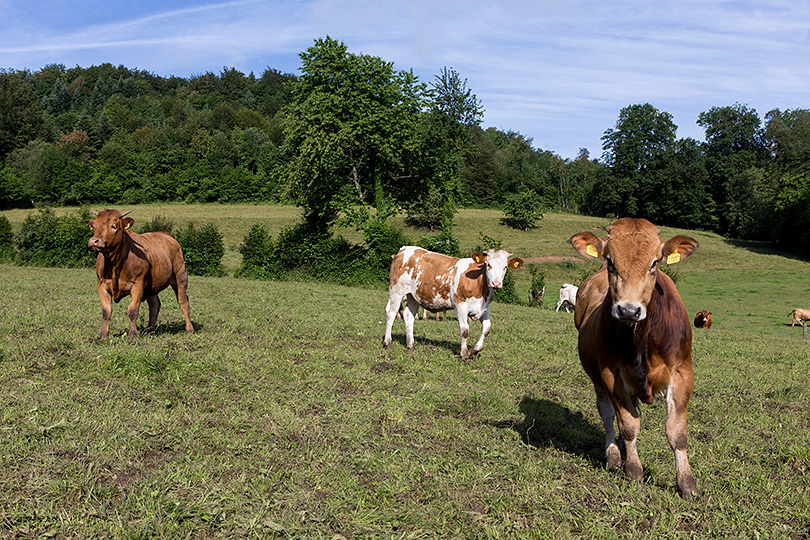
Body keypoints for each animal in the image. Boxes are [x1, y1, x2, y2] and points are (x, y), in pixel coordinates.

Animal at [87, 209, 193, 344]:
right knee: (155, 305)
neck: (114, 264)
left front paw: (132, 336)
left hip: (180, 276)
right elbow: (106, 311)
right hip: (152, 286)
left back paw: (189, 328)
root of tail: (168, 236)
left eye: (113, 226)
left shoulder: (138, 283)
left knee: (183, 301)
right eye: (94, 226)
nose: (94, 241)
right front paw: (103, 335)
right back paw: (149, 330)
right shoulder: (101, 284)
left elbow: (132, 310)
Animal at [386, 248, 524, 358]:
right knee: (391, 313)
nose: (496, 283)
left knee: (409, 316)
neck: (480, 286)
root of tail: (403, 250)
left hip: (413, 296)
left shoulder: (484, 308)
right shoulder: (460, 305)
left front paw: (474, 350)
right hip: (396, 291)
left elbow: (487, 329)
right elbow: (464, 330)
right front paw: (464, 353)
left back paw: (411, 345)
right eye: (488, 264)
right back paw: (387, 343)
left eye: (505, 267)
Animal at [568, 217, 700, 496]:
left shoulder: (683, 374)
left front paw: (686, 483)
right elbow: (629, 425)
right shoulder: (612, 376)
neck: (643, 340)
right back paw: (614, 454)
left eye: (655, 262)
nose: (628, 310)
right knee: (607, 413)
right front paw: (633, 470)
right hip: (596, 378)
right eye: (610, 261)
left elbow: (677, 432)